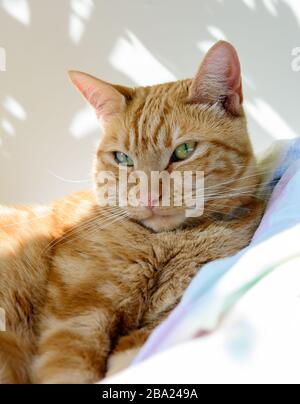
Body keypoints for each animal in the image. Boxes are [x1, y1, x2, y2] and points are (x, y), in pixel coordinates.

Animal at [0, 41, 262, 386]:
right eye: (122, 158)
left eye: (184, 151)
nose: (148, 196)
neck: (164, 243)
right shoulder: (76, 321)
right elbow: (70, 370)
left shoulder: (158, 323)